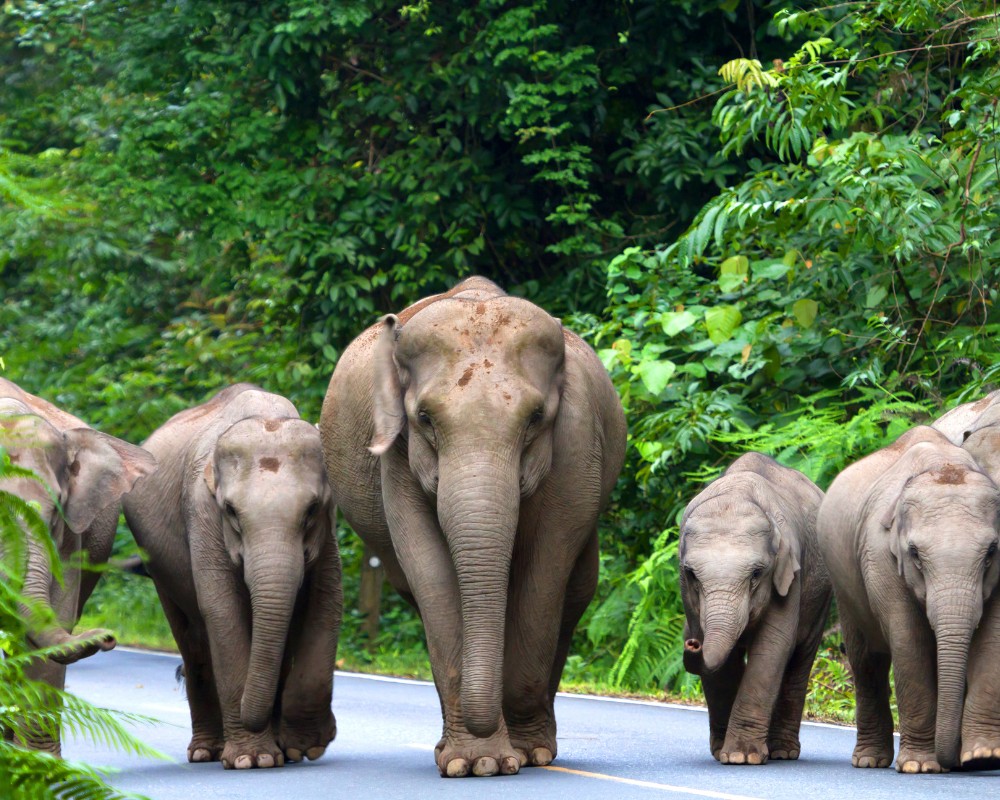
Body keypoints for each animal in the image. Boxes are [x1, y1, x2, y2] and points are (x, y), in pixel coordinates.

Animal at [119, 384, 340, 772]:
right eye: (232, 512)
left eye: (311, 510)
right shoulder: (202, 513)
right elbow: (222, 611)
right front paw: (254, 759)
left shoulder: (329, 529)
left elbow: (326, 602)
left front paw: (303, 747)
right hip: (159, 568)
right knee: (193, 641)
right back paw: (207, 752)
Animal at [318, 278, 624, 780]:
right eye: (425, 418)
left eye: (535, 418)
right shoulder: (396, 460)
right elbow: (430, 572)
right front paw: (476, 762)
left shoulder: (577, 445)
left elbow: (545, 571)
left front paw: (524, 755)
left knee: (575, 592)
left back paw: (538, 748)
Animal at [680, 454, 828, 764]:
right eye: (691, 574)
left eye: (757, 573)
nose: (692, 642)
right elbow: (725, 662)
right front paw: (728, 753)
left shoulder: (790, 575)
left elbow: (772, 647)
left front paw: (741, 756)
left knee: (800, 659)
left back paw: (783, 752)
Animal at [812, 428, 1000, 772]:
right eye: (914, 554)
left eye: (991, 552)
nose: (956, 763)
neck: (944, 464)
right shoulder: (878, 555)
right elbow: (908, 641)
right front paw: (920, 766)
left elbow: (992, 639)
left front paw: (982, 757)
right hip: (844, 585)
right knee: (866, 661)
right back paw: (869, 760)